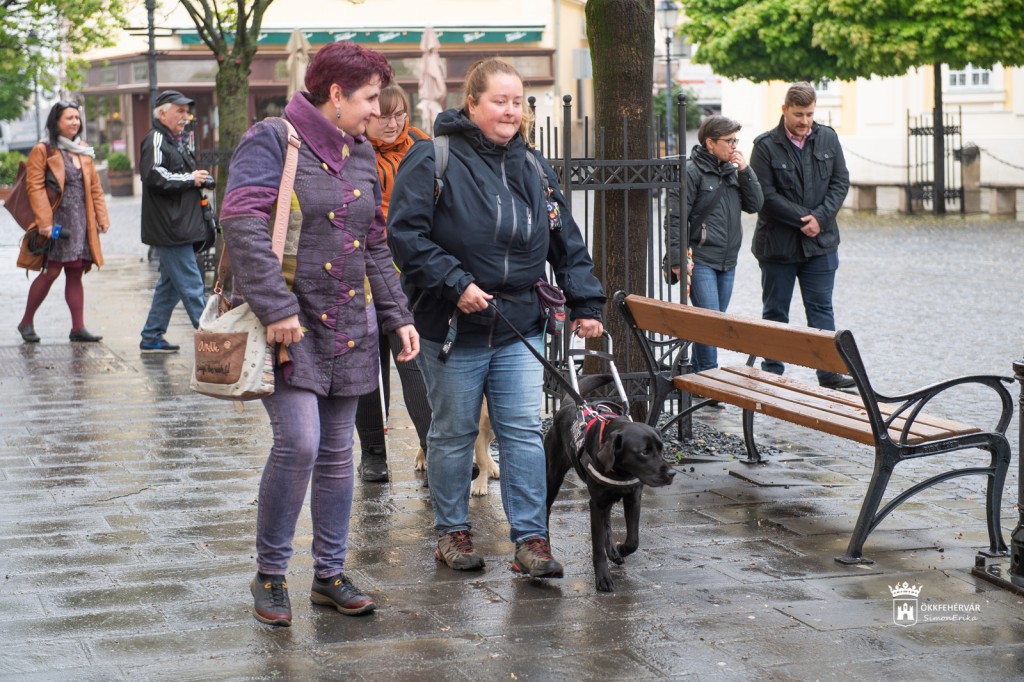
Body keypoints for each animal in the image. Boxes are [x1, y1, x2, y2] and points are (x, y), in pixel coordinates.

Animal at [545, 375, 676, 592]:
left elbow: (633, 539)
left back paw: (613, 551)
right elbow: (597, 546)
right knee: (545, 509)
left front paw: (621, 549)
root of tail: (568, 404)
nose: (672, 473)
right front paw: (603, 578)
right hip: (553, 477)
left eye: (661, 448)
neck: (621, 471)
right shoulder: (596, 503)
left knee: (607, 523)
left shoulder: (633, 498)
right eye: (644, 452)